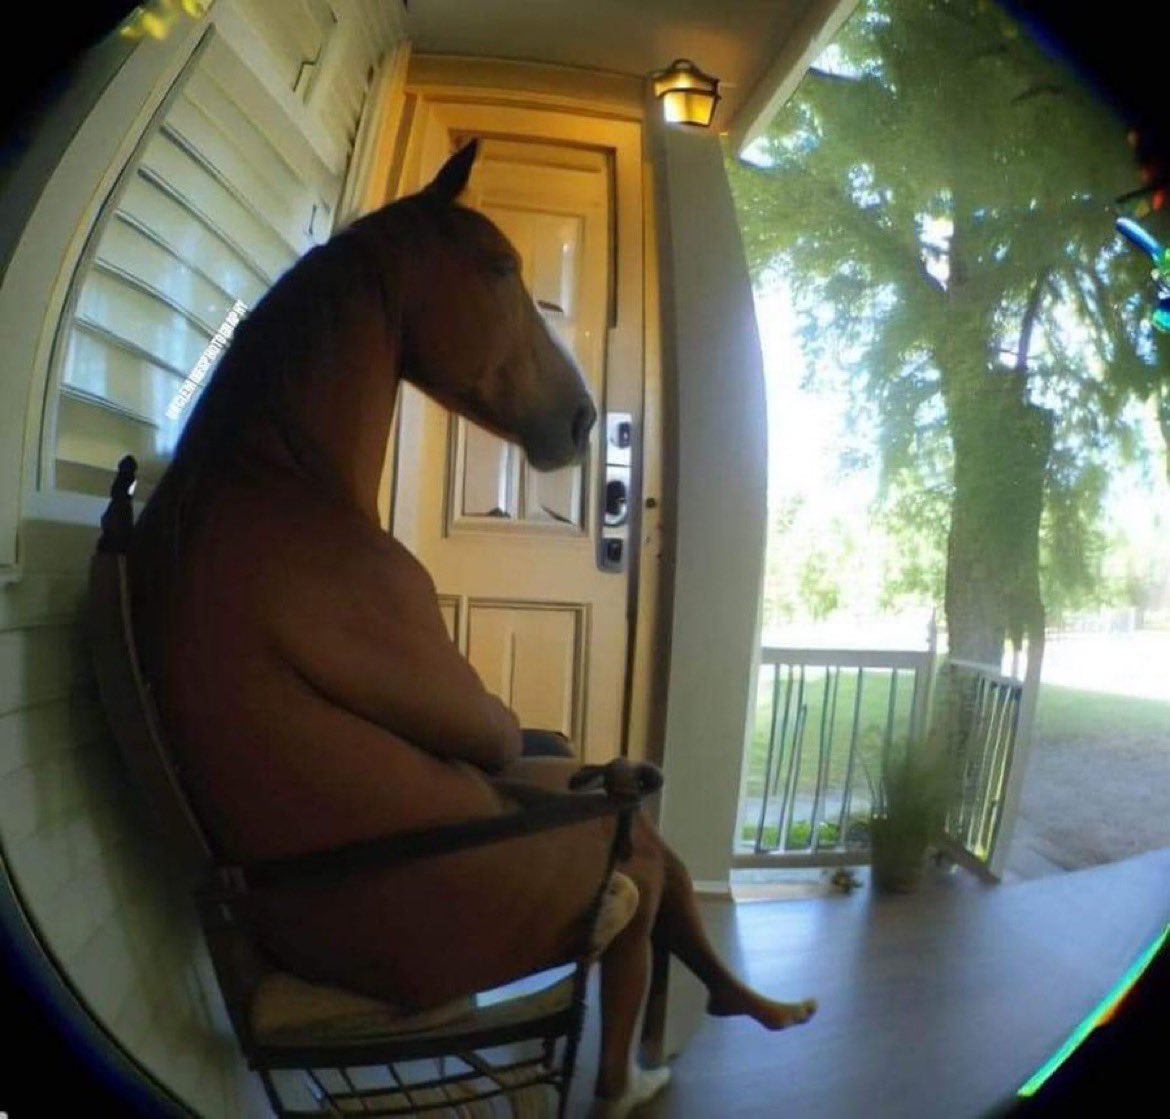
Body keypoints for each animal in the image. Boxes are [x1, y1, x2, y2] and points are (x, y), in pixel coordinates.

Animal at [128, 140, 815, 1115]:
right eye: (499, 266)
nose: (583, 418)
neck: (273, 475)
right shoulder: (462, 693)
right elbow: (497, 730)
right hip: (579, 882)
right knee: (640, 914)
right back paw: (642, 1074)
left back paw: (752, 1007)